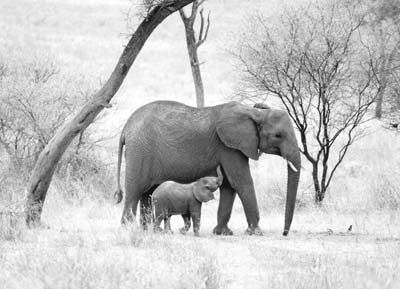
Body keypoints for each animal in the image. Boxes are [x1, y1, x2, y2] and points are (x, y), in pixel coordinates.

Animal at [113, 100, 300, 235]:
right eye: (278, 135)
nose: (284, 233)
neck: (254, 112)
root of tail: (126, 128)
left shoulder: (230, 147)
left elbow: (229, 186)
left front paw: (222, 233)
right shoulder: (228, 147)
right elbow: (241, 182)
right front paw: (256, 233)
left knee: (147, 193)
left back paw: (145, 231)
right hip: (139, 152)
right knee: (134, 192)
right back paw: (128, 229)